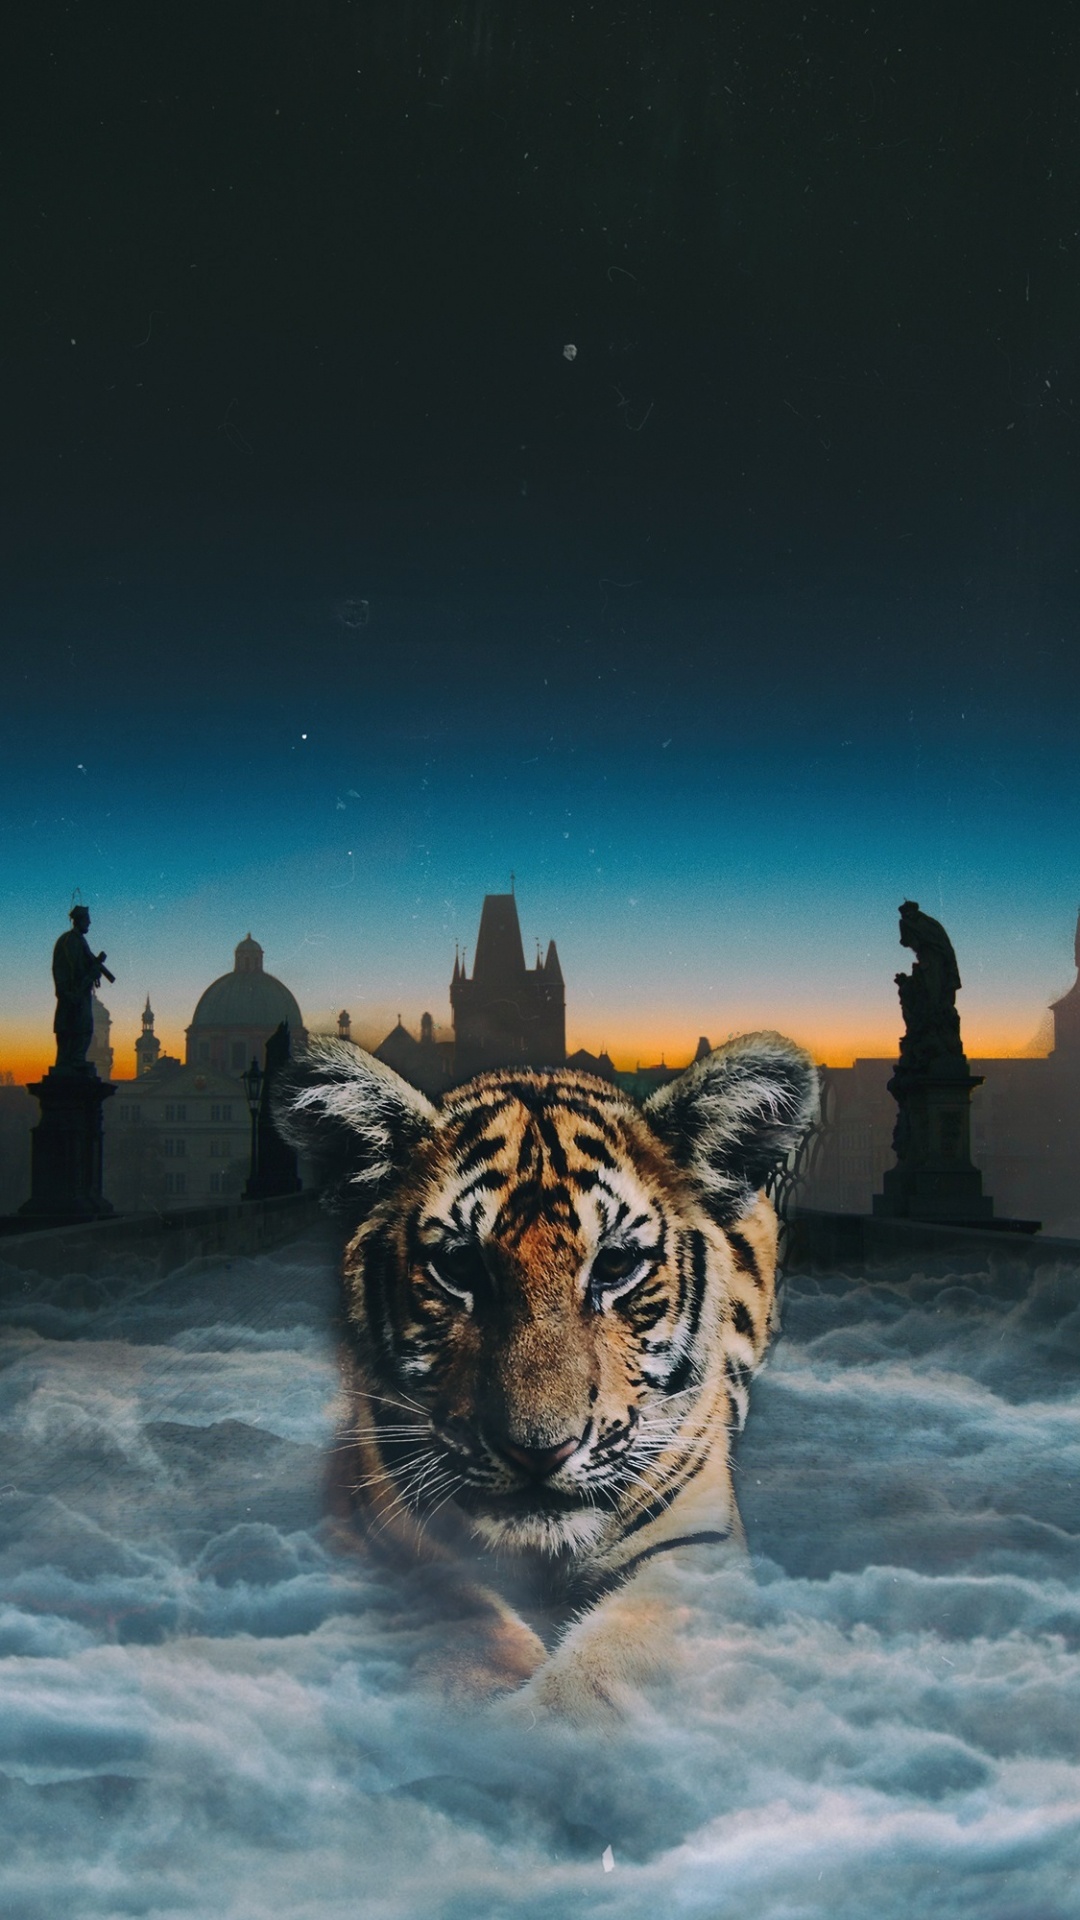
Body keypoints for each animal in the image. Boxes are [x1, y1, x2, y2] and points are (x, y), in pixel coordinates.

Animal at [273, 1029, 817, 1720]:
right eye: (460, 1266)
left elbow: (608, 1670)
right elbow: (463, 1617)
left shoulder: (694, 1543)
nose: (538, 1451)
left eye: (614, 1265)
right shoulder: (384, 1524)